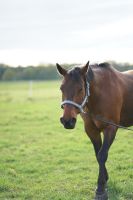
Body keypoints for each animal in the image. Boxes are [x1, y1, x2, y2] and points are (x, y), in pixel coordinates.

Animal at [55, 61, 133, 199]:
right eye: (61, 88)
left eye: (80, 88)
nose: (67, 121)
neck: (100, 94)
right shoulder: (91, 130)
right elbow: (98, 154)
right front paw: (104, 181)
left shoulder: (110, 128)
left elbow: (102, 155)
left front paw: (100, 189)